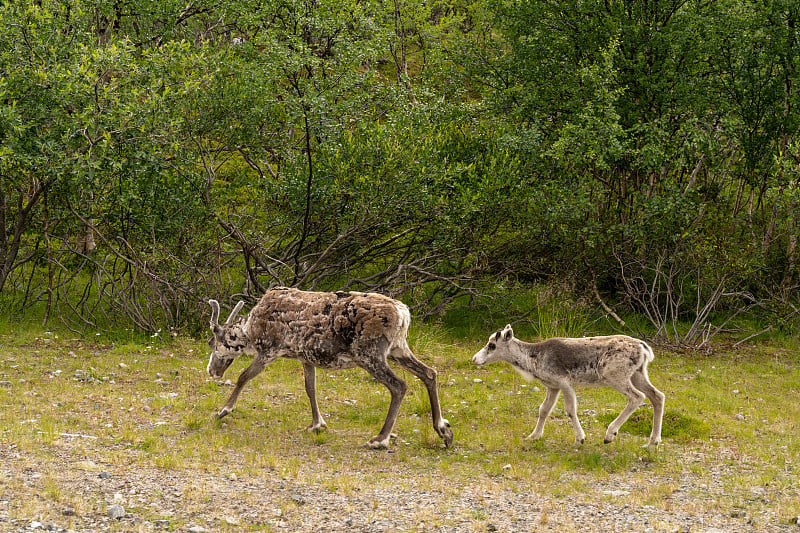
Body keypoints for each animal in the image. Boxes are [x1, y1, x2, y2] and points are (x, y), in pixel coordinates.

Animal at [472, 324, 664, 444]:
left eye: (492, 345)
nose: (474, 359)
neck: (533, 360)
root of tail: (644, 348)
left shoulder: (564, 382)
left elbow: (570, 410)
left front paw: (580, 439)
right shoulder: (552, 386)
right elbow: (544, 409)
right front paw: (533, 436)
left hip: (614, 375)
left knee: (637, 396)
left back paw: (610, 434)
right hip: (638, 374)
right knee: (657, 396)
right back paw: (653, 441)